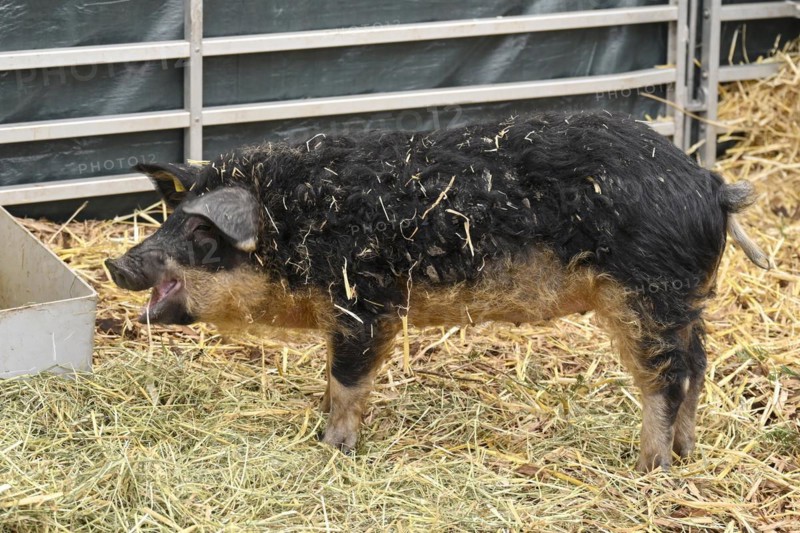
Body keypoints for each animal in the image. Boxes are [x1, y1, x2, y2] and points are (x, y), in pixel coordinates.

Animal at [106, 111, 770, 471]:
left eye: (200, 232)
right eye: (170, 219)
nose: (116, 262)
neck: (298, 224)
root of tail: (711, 185)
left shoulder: (367, 302)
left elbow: (349, 380)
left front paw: (334, 447)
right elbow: (330, 378)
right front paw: (318, 419)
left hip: (645, 295)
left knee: (667, 378)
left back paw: (646, 468)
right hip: (683, 300)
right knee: (699, 365)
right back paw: (685, 454)